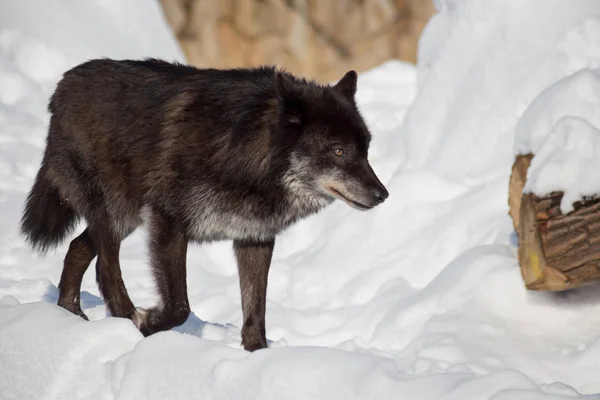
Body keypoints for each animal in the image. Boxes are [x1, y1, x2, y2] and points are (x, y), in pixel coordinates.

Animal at [19, 57, 390, 352]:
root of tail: (62, 86)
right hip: (114, 212)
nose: (382, 194)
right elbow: (179, 306)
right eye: (338, 151)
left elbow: (256, 311)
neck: (245, 153)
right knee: (106, 268)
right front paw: (148, 324)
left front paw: (257, 357)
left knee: (78, 248)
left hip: (124, 218)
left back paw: (69, 315)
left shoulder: (254, 238)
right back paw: (124, 319)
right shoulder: (169, 224)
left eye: (366, 149)